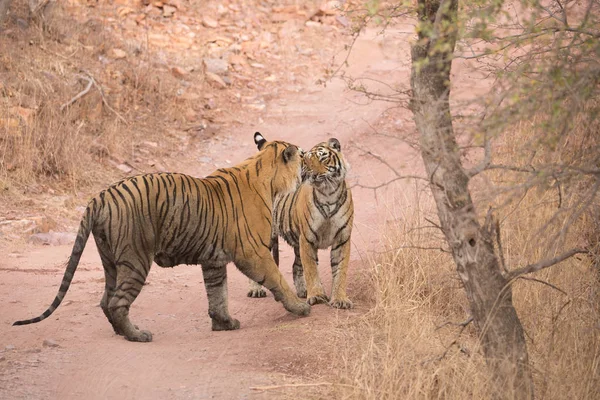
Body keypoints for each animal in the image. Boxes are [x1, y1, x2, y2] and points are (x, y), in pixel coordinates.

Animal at [13, 133, 310, 342]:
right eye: (302, 157)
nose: (308, 166)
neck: (265, 172)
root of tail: (100, 196)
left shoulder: (214, 260)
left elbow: (217, 294)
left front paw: (223, 323)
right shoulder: (253, 252)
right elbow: (277, 279)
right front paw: (300, 307)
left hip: (110, 259)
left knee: (106, 299)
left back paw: (123, 331)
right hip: (135, 258)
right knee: (117, 302)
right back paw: (137, 335)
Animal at [247, 138, 354, 310]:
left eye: (323, 158)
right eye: (307, 161)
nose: (314, 175)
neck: (328, 194)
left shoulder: (342, 239)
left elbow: (340, 270)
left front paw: (340, 299)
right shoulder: (307, 239)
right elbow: (311, 269)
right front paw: (317, 296)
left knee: (295, 266)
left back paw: (302, 290)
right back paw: (255, 290)